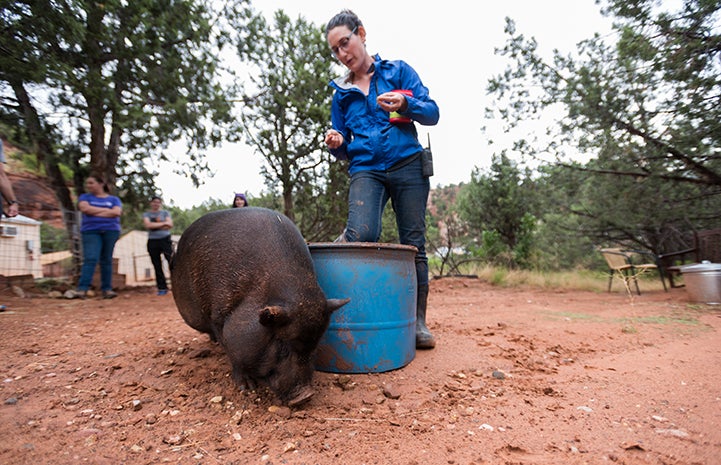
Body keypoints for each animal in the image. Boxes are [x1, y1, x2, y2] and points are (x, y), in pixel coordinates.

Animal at [170, 208, 348, 406]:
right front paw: (246, 388)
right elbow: (231, 350)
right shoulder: (217, 315)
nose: (305, 395)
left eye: (315, 345)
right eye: (282, 346)